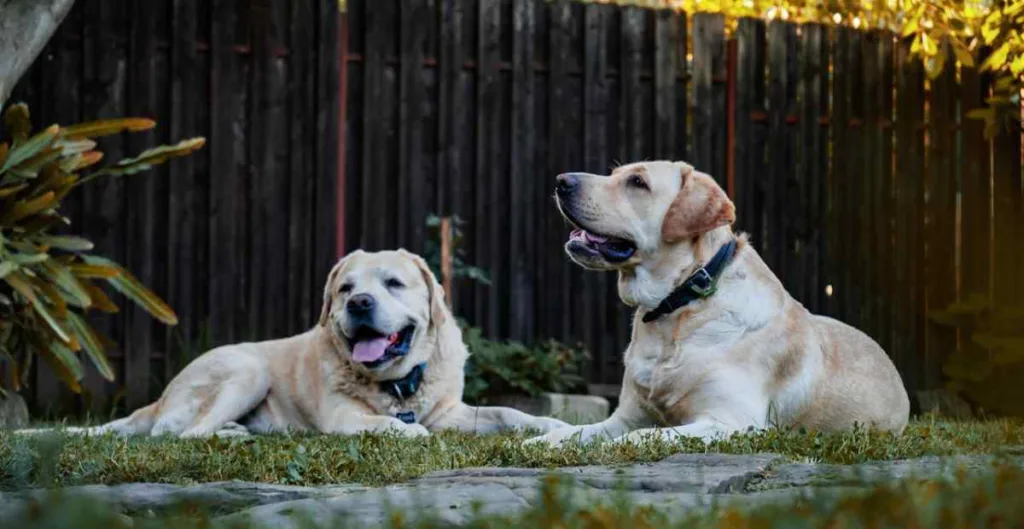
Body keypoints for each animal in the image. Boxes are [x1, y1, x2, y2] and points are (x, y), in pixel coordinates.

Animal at [22, 249, 569, 435]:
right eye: (345, 289)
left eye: (393, 283)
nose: (359, 303)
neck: (397, 387)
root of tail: (158, 399)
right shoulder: (344, 418)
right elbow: (392, 428)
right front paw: (409, 434)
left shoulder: (451, 411)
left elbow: (507, 413)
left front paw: (549, 424)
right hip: (248, 369)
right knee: (178, 435)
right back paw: (228, 435)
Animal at [532, 159, 909, 446]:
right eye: (614, 174)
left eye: (637, 182)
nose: (561, 181)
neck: (678, 308)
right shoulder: (624, 416)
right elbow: (579, 430)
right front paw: (541, 440)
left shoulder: (733, 422)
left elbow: (642, 436)